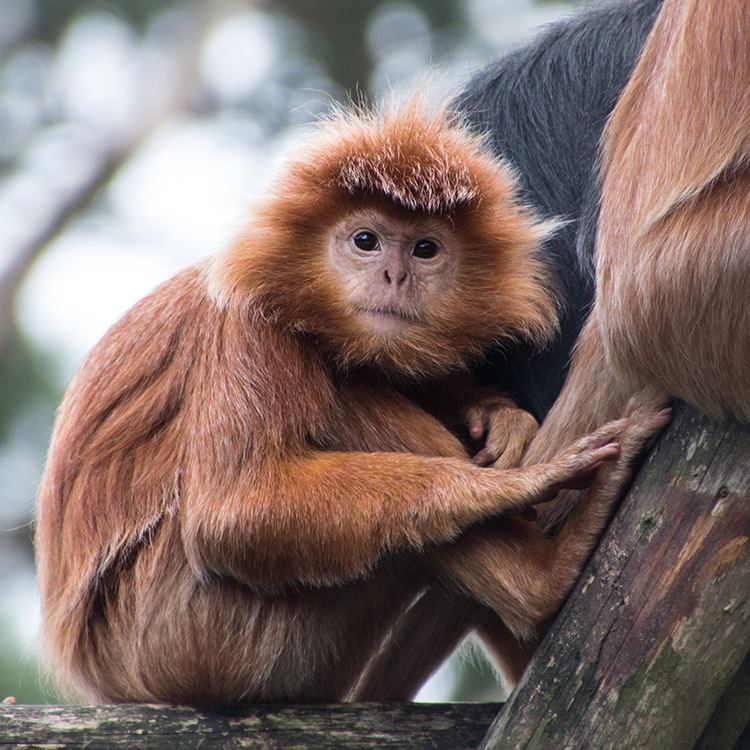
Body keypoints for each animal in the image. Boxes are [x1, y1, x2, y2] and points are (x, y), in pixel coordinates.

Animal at [33, 97, 668, 708]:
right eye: (366, 241)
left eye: (425, 249)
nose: (394, 276)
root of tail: (101, 678)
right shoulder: (249, 327)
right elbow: (231, 512)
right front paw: (512, 484)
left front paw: (497, 414)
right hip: (187, 638)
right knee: (345, 401)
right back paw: (544, 580)